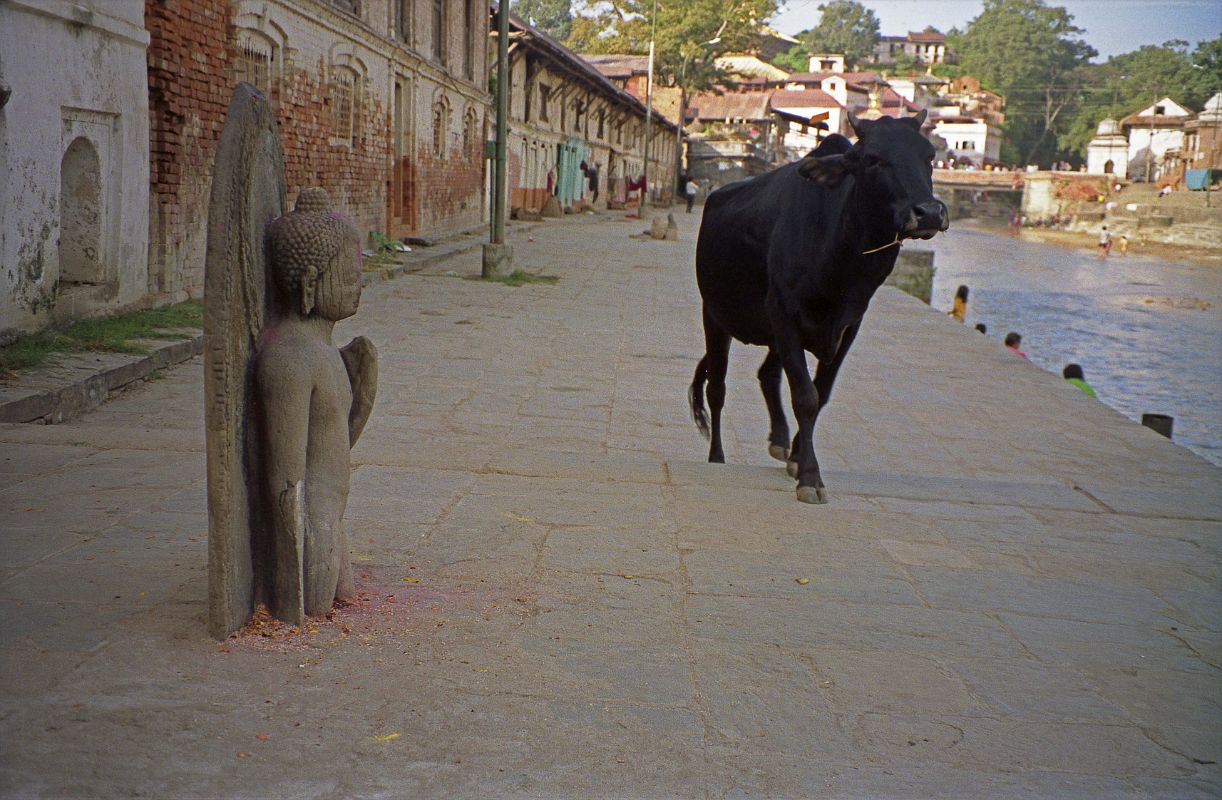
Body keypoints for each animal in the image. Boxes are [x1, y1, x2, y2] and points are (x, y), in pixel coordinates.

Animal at [694, 109, 948, 503]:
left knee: (766, 374)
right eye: (873, 158)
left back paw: (780, 441)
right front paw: (810, 477)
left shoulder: (847, 326)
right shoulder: (784, 314)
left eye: (929, 156)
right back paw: (717, 456)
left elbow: (822, 393)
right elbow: (805, 397)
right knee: (716, 388)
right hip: (715, 316)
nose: (930, 212)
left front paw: (798, 459)